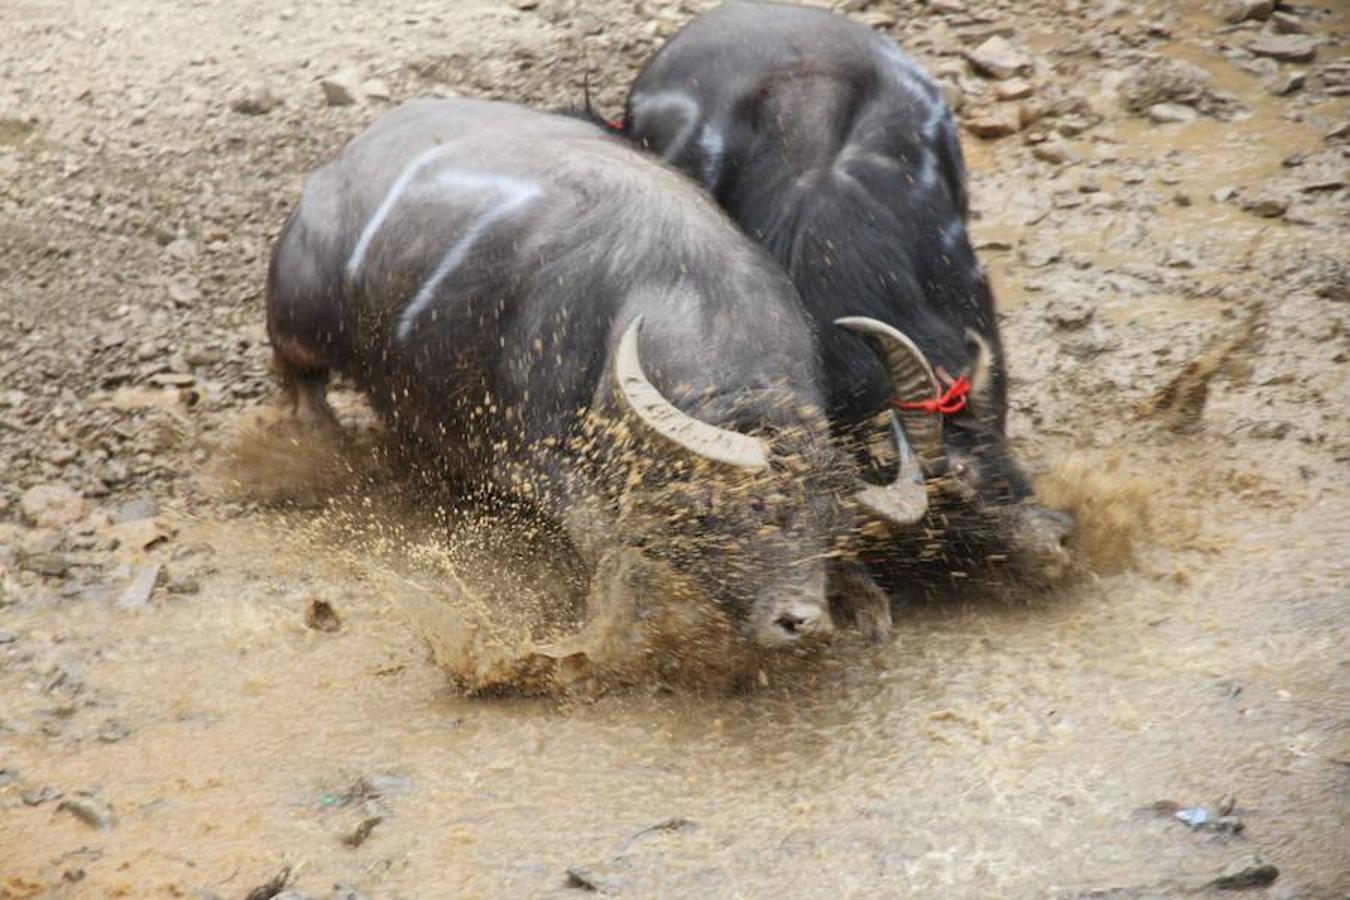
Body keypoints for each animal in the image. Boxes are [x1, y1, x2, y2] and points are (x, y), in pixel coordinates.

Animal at [264, 97, 923, 647]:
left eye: (831, 524)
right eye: (732, 512)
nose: (800, 620)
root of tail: (331, 173)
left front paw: (866, 603)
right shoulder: (530, 457)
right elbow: (601, 537)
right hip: (296, 318)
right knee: (299, 377)